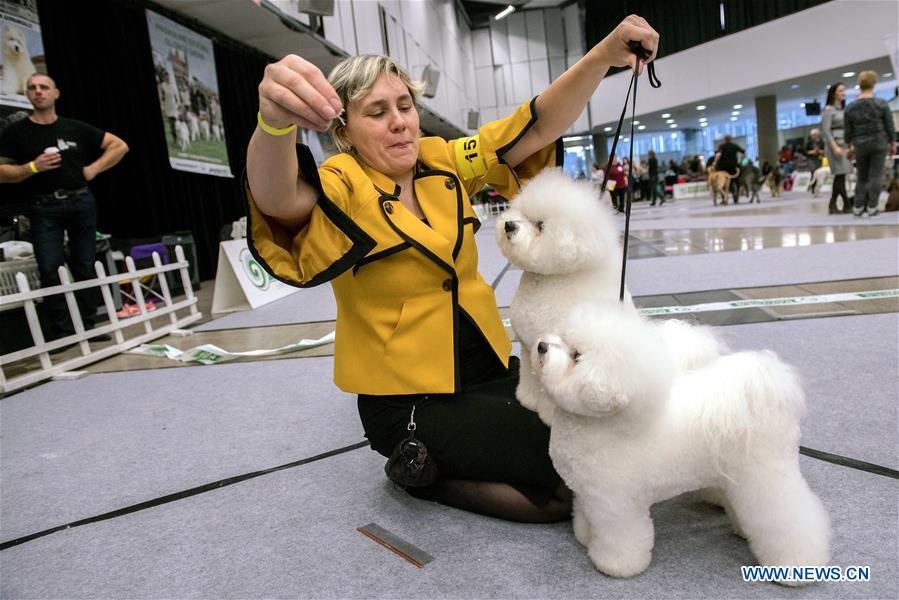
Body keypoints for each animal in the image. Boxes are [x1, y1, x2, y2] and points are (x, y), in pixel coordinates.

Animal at [496, 166, 636, 424]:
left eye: (541, 225)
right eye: (523, 214)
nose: (509, 225)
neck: (548, 280)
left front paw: (549, 416)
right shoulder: (528, 348)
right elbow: (529, 376)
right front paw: (527, 400)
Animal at [532, 304, 832, 580]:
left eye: (576, 356)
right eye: (562, 337)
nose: (542, 345)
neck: (600, 423)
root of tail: (769, 396)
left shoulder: (617, 502)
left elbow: (620, 538)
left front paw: (615, 565)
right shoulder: (588, 493)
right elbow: (586, 517)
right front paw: (585, 537)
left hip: (767, 476)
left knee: (790, 519)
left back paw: (797, 564)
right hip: (735, 474)